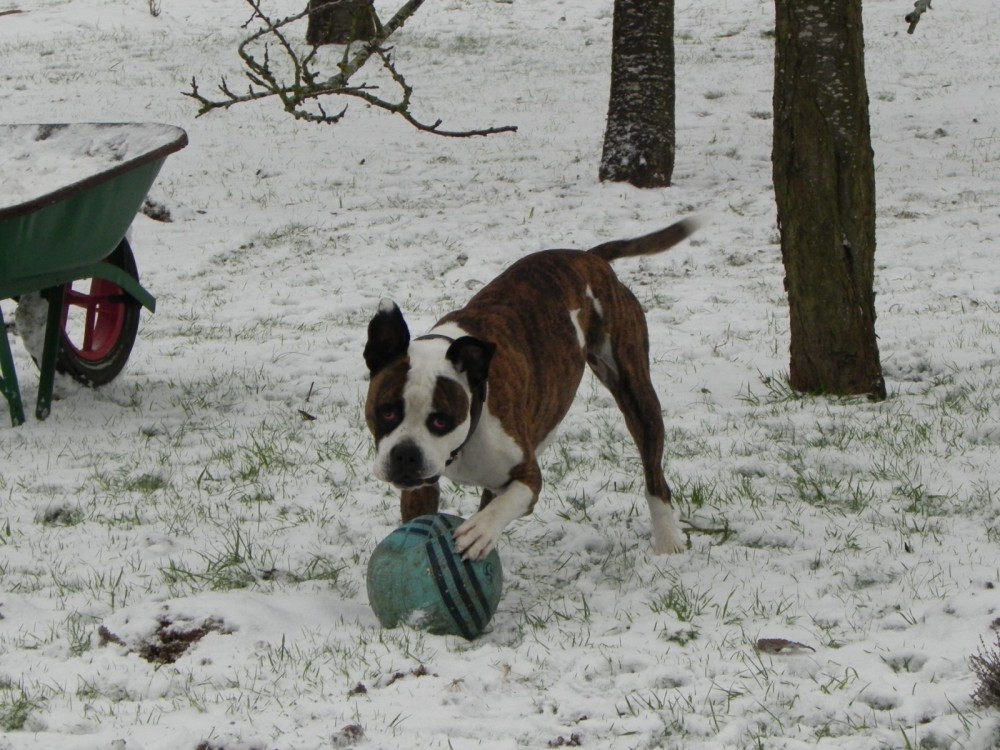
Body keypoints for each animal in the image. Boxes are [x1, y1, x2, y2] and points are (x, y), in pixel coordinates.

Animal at [363, 219, 696, 560]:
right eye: (386, 412)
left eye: (441, 420)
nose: (405, 454)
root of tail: (589, 258)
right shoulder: (421, 488)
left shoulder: (527, 476)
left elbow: (507, 503)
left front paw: (480, 531)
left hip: (635, 391)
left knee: (653, 472)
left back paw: (668, 539)